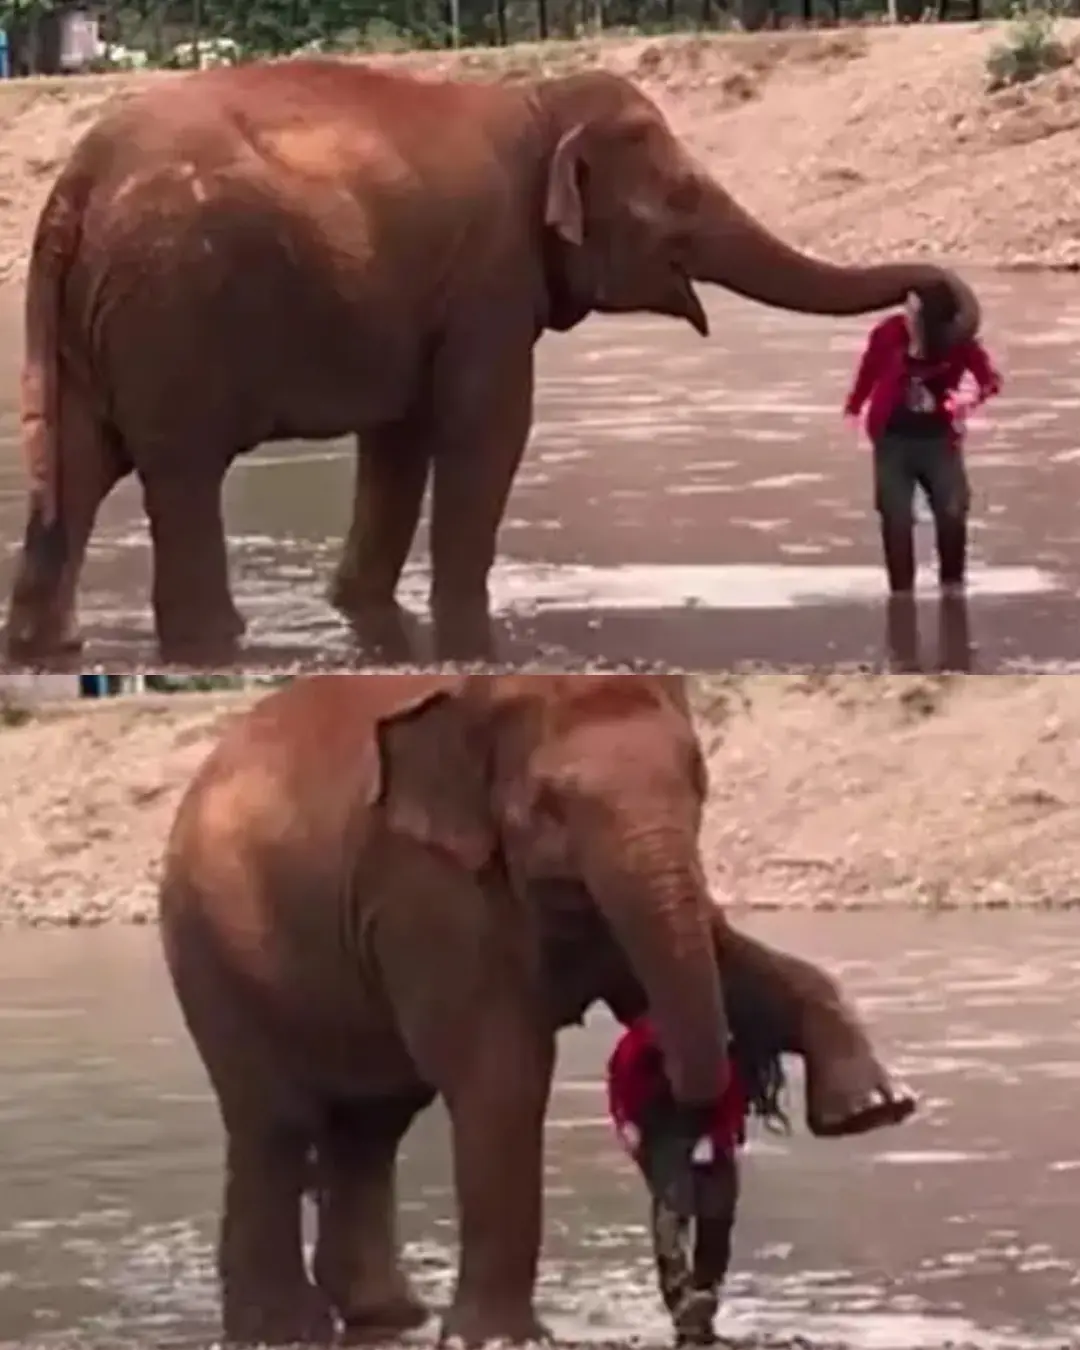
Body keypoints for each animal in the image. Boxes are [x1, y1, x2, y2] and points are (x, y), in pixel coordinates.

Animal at [3, 60, 982, 667]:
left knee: (75, 477)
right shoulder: (488, 278)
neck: (537, 101)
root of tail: (70, 190)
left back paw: (48, 652)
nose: (933, 307)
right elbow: (490, 429)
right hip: (173, 313)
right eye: (682, 196)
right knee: (182, 476)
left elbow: (398, 443)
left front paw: (363, 612)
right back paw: (209, 641)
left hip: (92, 327)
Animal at [159, 672, 912, 1346]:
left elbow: (735, 963)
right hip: (215, 946)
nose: (688, 1120)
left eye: (699, 780)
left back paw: (389, 1317)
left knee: (369, 1126)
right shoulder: (425, 888)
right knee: (275, 1123)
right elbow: (503, 1076)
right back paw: (281, 1330)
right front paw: (500, 1342)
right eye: (551, 804)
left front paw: (873, 1109)